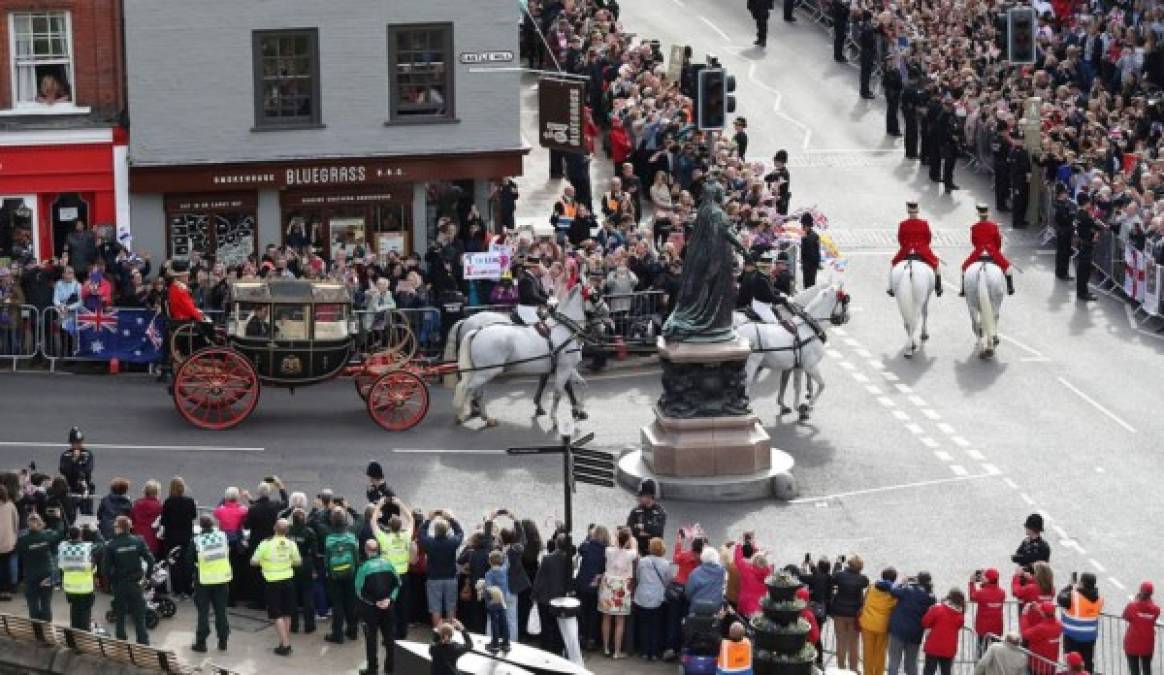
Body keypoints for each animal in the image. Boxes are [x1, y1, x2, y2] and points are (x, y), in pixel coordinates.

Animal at [449, 286, 586, 428]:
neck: (564, 329)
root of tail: (477, 330)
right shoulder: (564, 368)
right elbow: (559, 392)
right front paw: (557, 417)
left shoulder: (565, 368)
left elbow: (582, 384)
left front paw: (579, 409)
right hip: (486, 372)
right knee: (466, 388)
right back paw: (462, 414)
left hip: (482, 373)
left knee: (477, 392)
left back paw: (485, 417)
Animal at [730, 280, 852, 418]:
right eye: (846, 300)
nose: (847, 317)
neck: (809, 327)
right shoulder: (810, 365)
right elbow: (821, 385)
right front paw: (808, 405)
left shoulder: (796, 366)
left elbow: (794, 386)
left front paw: (795, 406)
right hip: (750, 366)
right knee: (743, 387)